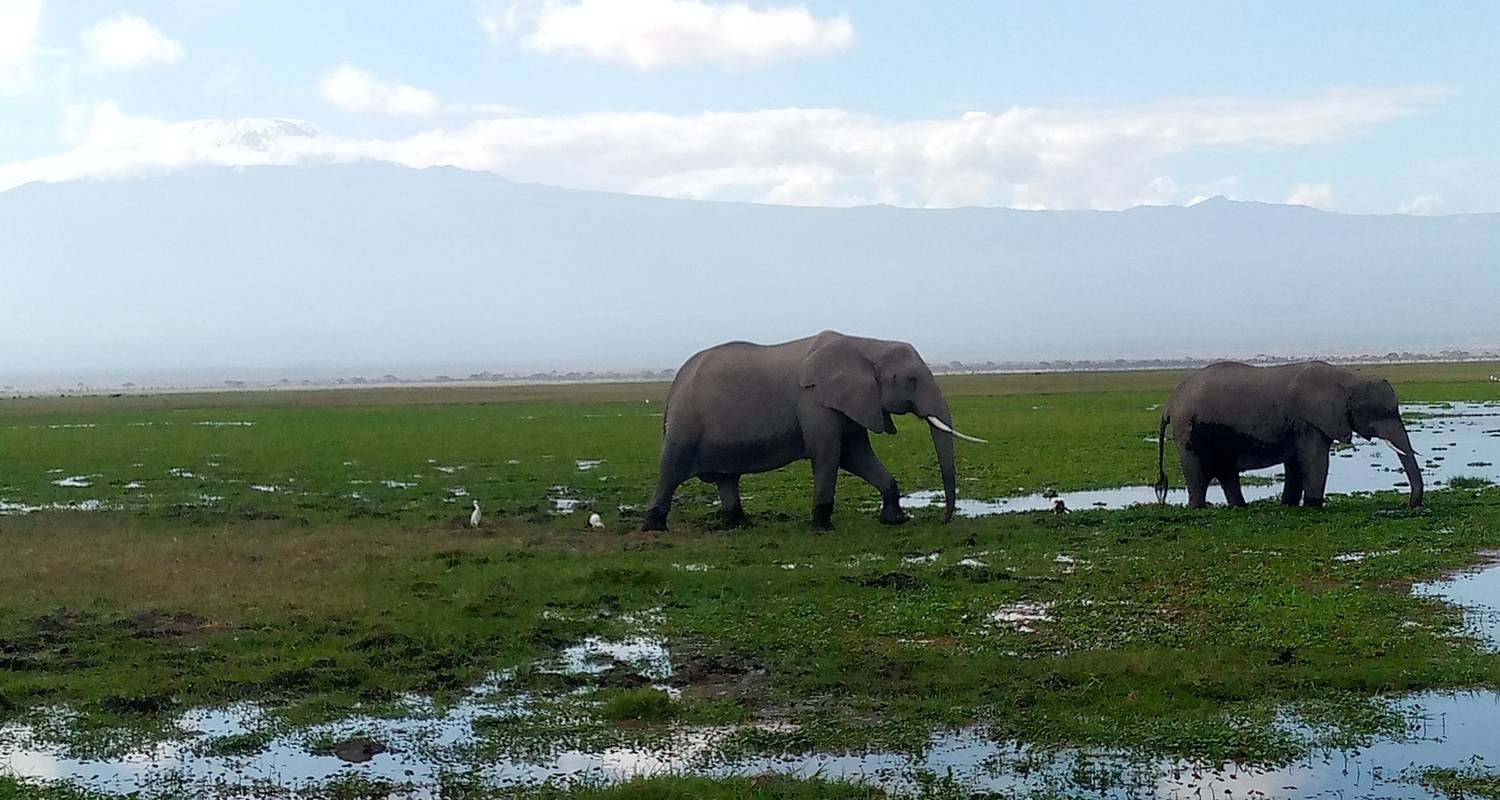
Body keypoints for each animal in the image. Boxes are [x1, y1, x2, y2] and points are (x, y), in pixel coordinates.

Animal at [642, 330, 984, 531]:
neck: (866, 343)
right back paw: (655, 527)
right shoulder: (814, 402)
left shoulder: (851, 402)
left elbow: (856, 455)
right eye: (911, 380)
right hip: (686, 423)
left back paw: (739, 524)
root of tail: (675, 384)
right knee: (671, 469)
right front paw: (822, 526)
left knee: (727, 479)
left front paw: (895, 520)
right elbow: (829, 454)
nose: (943, 521)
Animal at [1152, 360, 1422, 504]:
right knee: (1198, 474)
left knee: (1226, 472)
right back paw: (1199, 507)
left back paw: (1239, 508)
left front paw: (1289, 505)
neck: (1348, 378)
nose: (1411, 506)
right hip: (1187, 432)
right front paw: (1314, 505)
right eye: (1379, 414)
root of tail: (1169, 404)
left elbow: (1296, 463)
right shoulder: (1309, 419)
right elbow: (1314, 460)